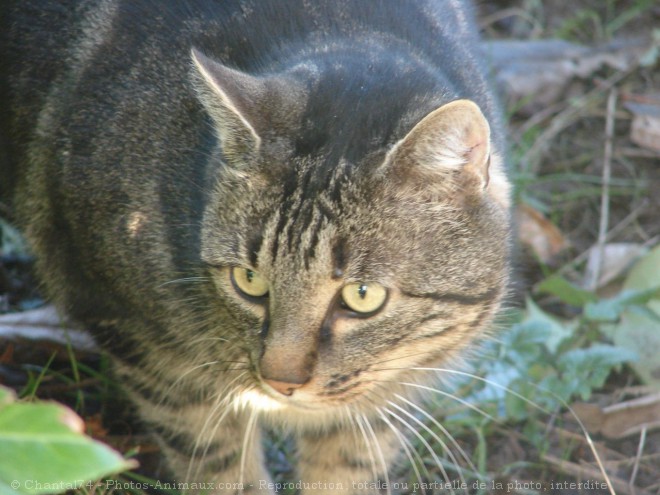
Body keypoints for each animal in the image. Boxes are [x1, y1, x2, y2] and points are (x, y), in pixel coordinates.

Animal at [1, 0, 510, 495]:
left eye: (363, 296)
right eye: (249, 280)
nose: (281, 382)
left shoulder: (385, 391)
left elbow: (347, 465)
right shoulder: (142, 344)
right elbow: (218, 466)